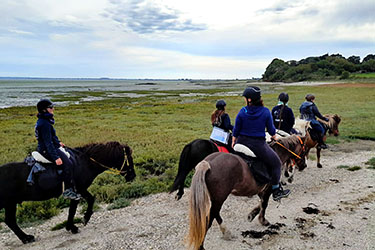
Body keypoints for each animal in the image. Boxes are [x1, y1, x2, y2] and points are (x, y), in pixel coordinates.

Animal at [0, 141, 135, 244]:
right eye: (129, 158)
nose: (133, 176)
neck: (84, 162)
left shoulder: (79, 190)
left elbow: (80, 205)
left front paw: (74, 225)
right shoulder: (78, 189)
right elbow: (79, 206)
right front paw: (81, 221)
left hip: (10, 203)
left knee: (10, 221)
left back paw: (26, 238)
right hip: (9, 203)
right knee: (10, 221)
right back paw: (26, 238)